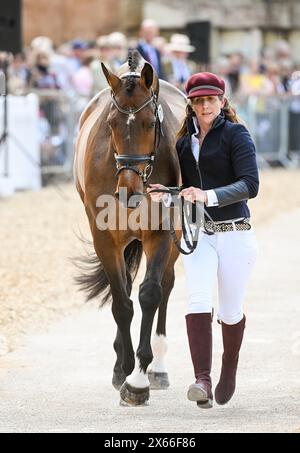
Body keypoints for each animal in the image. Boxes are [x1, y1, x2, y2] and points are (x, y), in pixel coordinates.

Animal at [74, 50, 186, 406]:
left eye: (151, 123)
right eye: (110, 124)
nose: (127, 191)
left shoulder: (161, 233)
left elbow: (150, 293)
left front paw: (138, 380)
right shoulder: (104, 238)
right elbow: (122, 303)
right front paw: (123, 370)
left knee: (166, 284)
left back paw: (158, 368)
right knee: (122, 286)